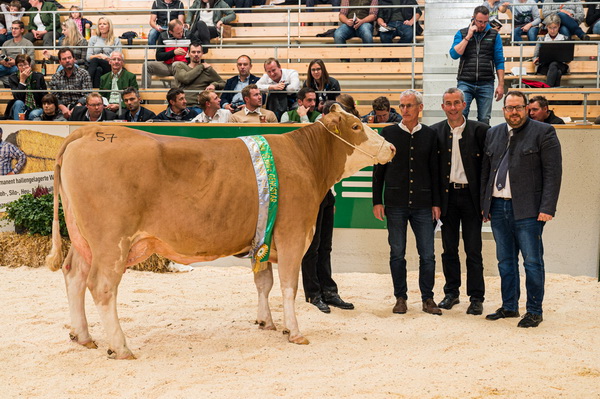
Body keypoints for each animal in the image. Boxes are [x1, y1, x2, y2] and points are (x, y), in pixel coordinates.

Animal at [45, 104, 394, 360]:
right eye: (356, 127)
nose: (391, 146)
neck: (305, 159)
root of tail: (89, 131)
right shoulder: (293, 234)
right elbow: (288, 287)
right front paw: (294, 332)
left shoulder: (263, 236)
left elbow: (263, 283)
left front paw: (266, 322)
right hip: (111, 241)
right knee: (102, 286)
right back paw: (121, 347)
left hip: (83, 236)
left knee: (73, 274)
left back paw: (83, 336)